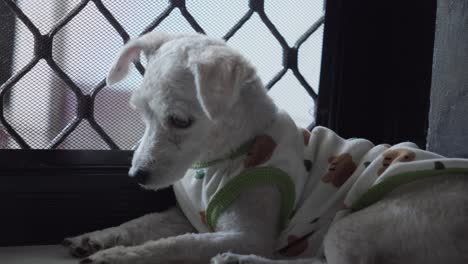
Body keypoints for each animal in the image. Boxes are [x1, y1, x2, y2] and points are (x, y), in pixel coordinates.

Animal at [64, 33, 468, 264]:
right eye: (140, 113)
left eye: (179, 121)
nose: (137, 175)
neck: (226, 154)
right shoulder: (188, 216)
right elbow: (144, 223)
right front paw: (96, 238)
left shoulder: (250, 235)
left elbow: (175, 245)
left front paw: (118, 256)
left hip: (351, 228)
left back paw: (238, 260)